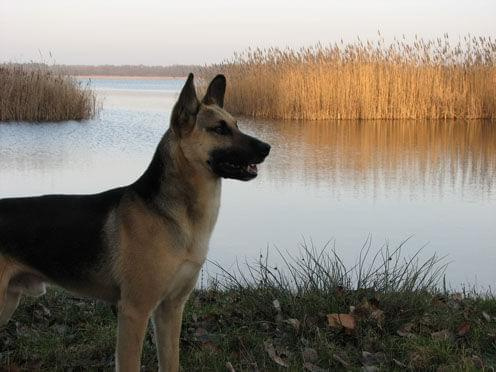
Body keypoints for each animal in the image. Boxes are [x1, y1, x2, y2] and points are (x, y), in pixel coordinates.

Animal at [0, 74, 270, 370]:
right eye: (219, 129)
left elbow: (171, 361)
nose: (267, 148)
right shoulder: (134, 312)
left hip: (8, 303)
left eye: (237, 125)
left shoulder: (171, 309)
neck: (174, 215)